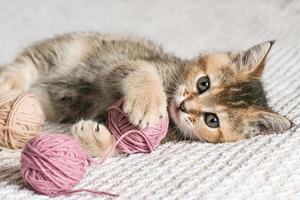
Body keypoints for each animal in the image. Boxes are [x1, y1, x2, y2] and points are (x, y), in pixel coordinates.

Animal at [0, 32, 290, 156]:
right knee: (27, 64)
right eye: (203, 83)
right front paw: (148, 102)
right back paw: (8, 81)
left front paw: (93, 138)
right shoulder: (123, 65)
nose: (183, 106)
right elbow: (143, 70)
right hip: (67, 50)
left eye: (212, 120)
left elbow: (118, 146)